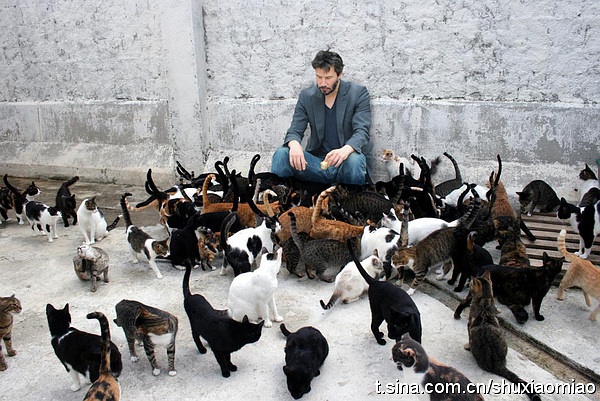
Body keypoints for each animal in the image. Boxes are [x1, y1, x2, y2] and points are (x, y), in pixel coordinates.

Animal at [460, 272, 541, 401]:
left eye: (472, 284)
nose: (468, 284)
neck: (485, 301)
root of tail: (499, 365)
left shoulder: (469, 324)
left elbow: (468, 337)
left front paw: (467, 346)